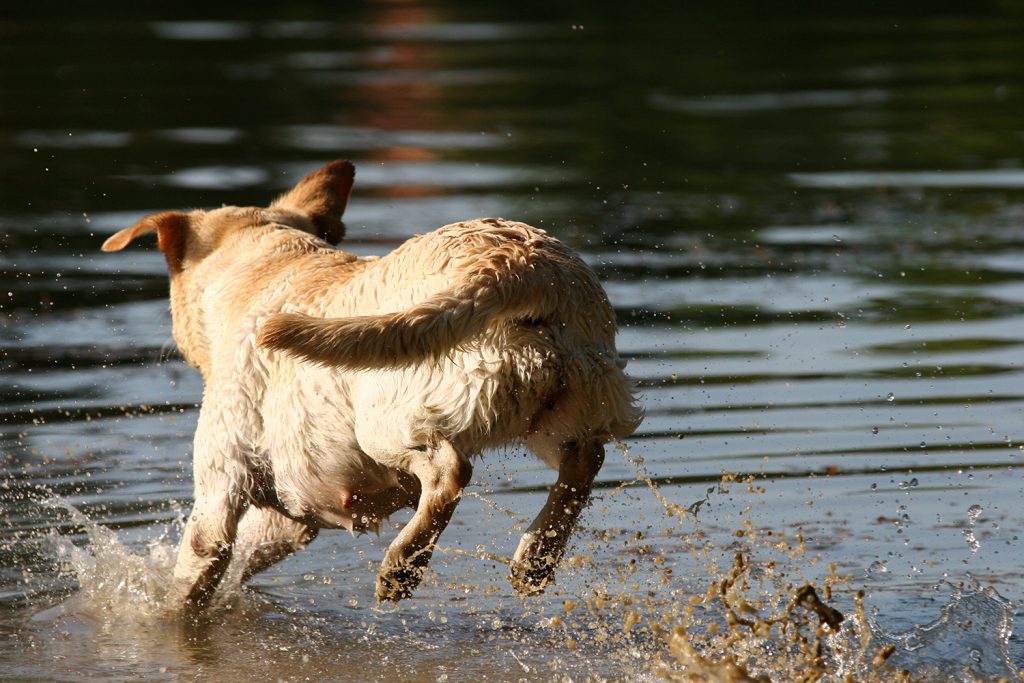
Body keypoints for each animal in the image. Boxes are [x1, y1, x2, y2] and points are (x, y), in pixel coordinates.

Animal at [101, 161, 638, 614]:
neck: (267, 266)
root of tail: (518, 264)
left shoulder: (219, 495)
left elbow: (187, 587)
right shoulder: (290, 514)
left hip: (386, 417)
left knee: (449, 471)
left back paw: (402, 568)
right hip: (561, 403)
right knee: (585, 459)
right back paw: (535, 558)